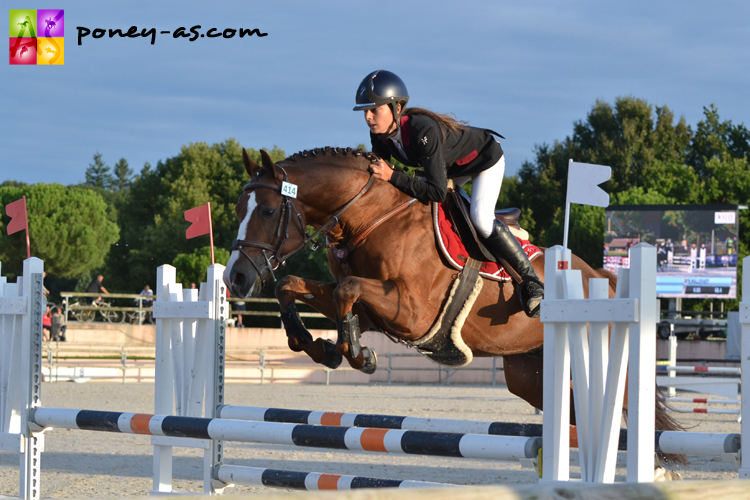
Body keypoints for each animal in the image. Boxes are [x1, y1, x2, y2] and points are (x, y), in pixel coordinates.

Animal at [223, 146, 680, 436]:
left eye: (268, 210)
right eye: (237, 209)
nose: (235, 279)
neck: (371, 215)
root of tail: (605, 278)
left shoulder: (412, 313)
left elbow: (345, 291)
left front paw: (356, 354)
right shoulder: (375, 308)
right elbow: (297, 287)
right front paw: (319, 346)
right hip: (531, 374)